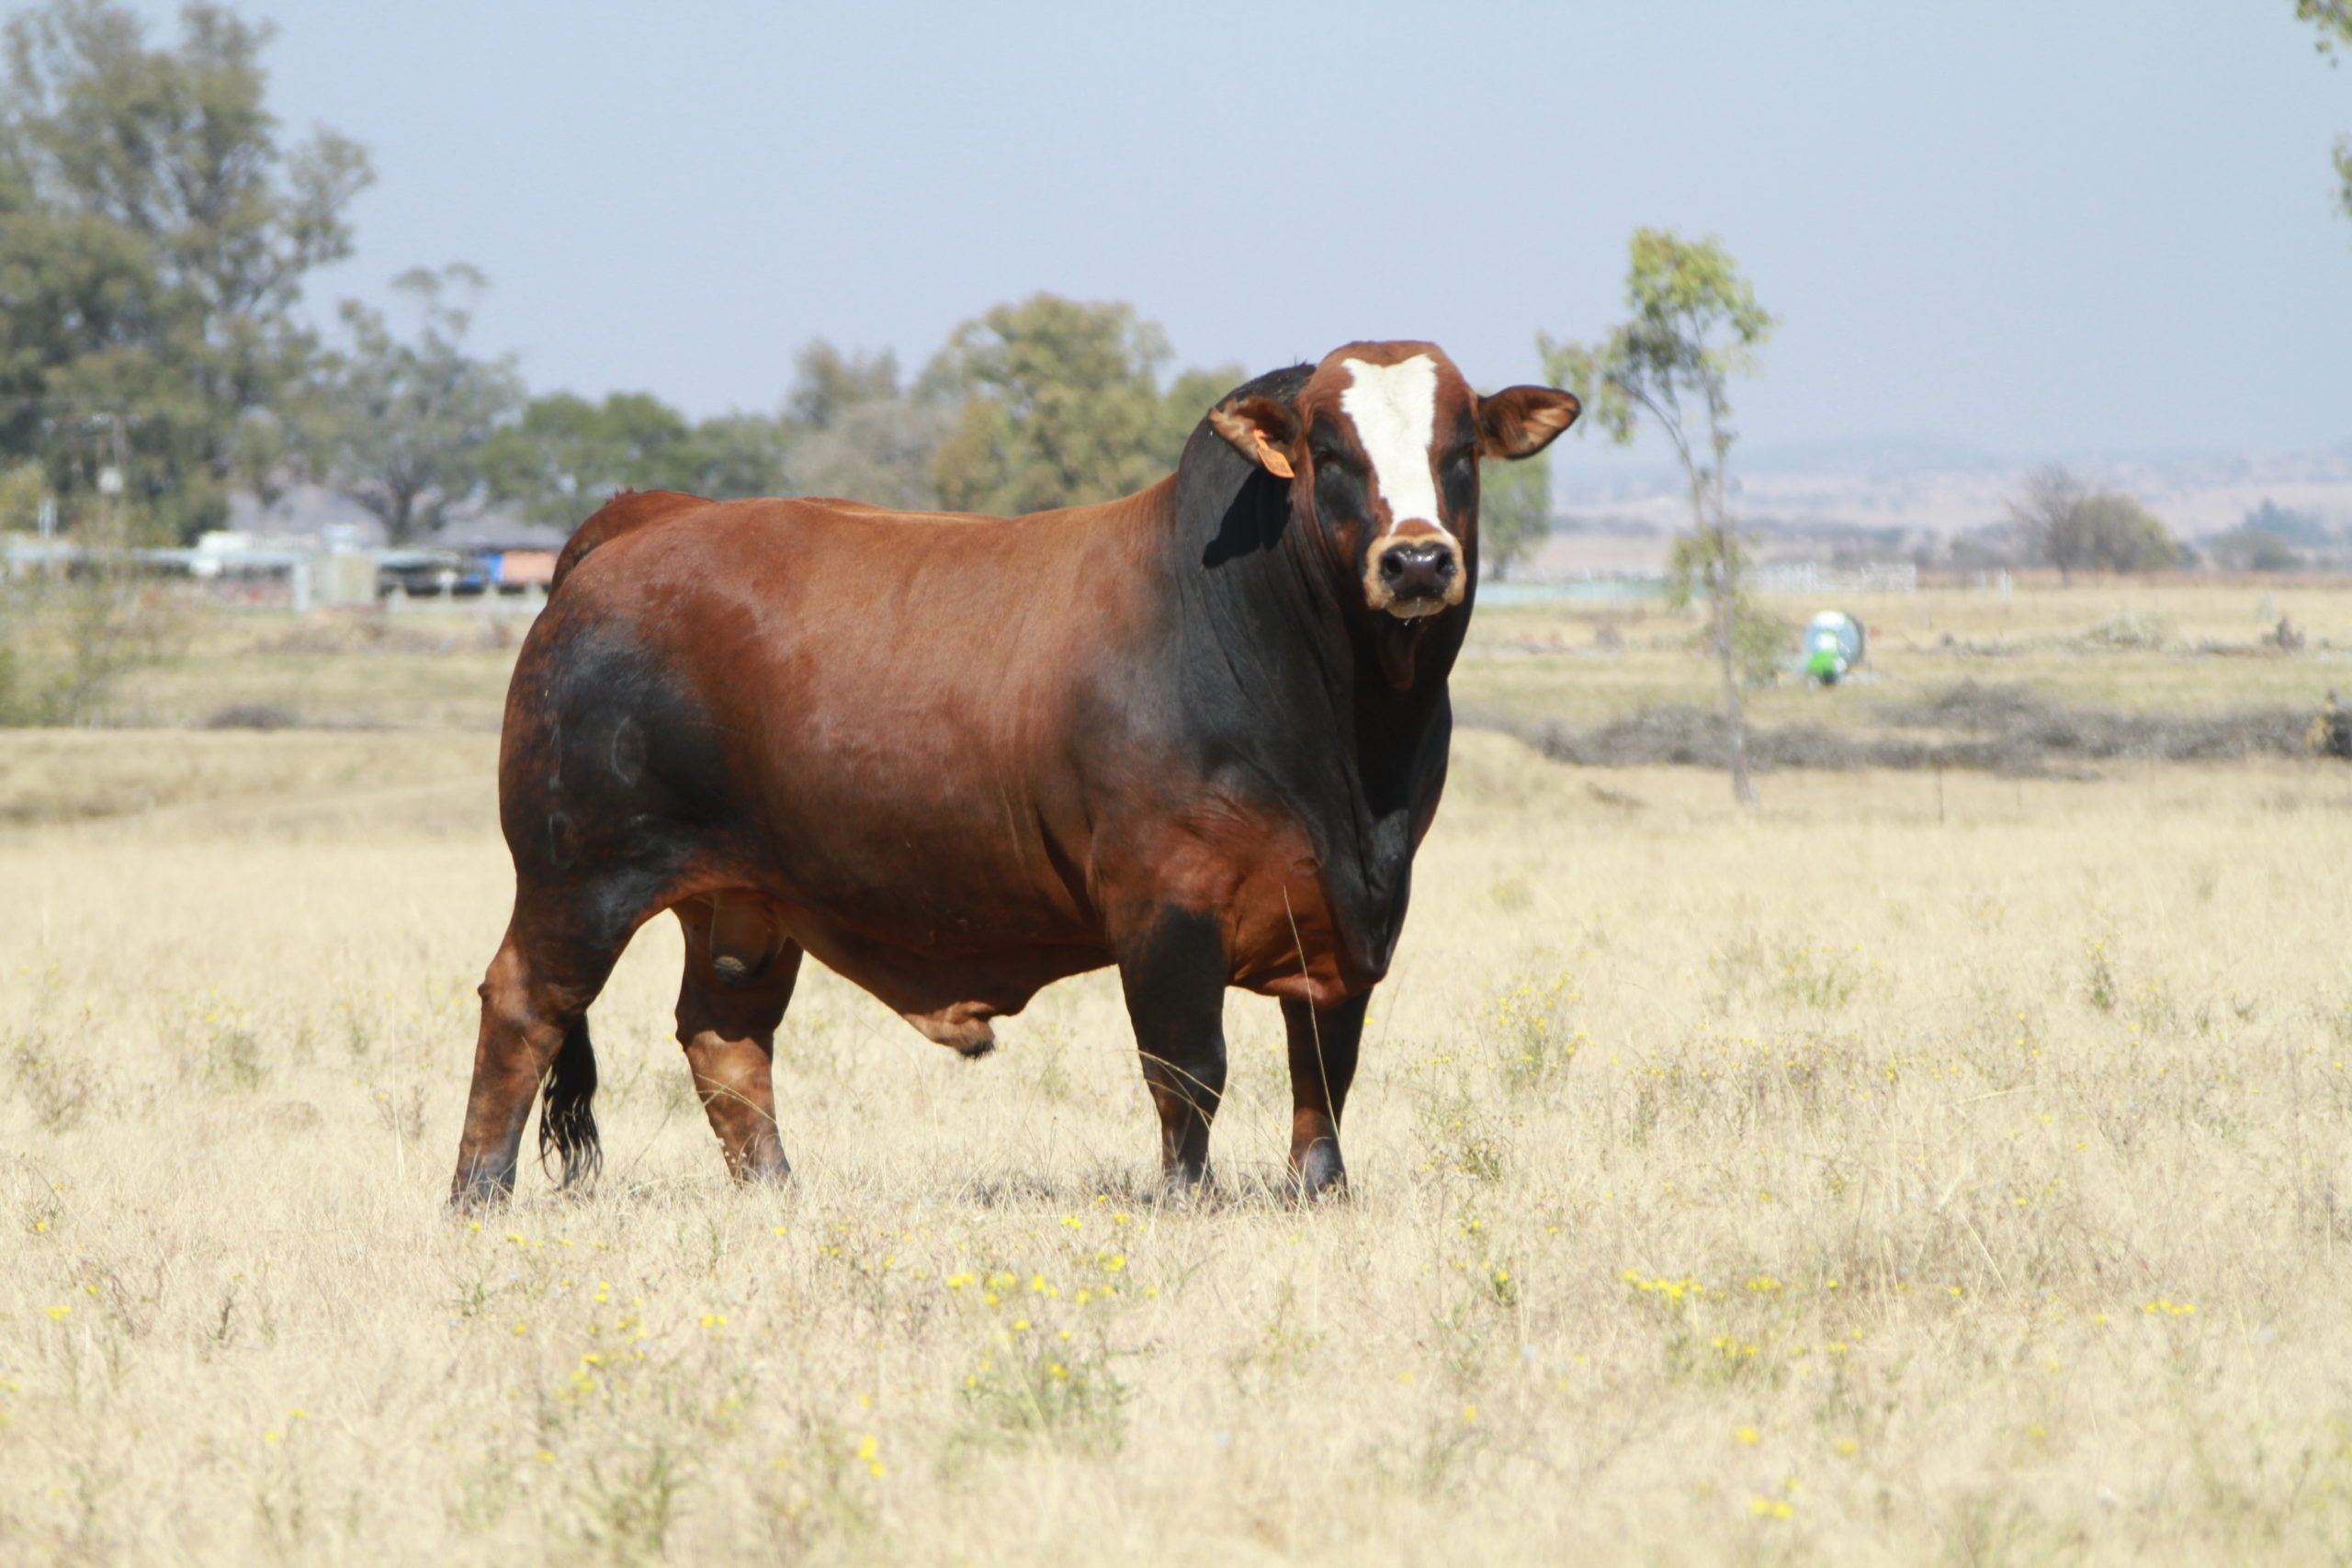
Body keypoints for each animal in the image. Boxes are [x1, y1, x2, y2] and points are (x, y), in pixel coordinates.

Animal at [448, 341, 1578, 1209]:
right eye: (1328, 451)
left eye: (1460, 449)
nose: (1417, 561)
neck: (1344, 742)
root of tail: (647, 518)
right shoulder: (1164, 902)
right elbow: (1187, 1068)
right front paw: (1186, 1199)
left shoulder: (1348, 916)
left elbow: (1323, 1074)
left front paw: (1321, 1193)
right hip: (577, 874)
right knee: (524, 1007)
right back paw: (478, 1196)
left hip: (744, 901)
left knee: (726, 1039)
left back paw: (776, 1194)